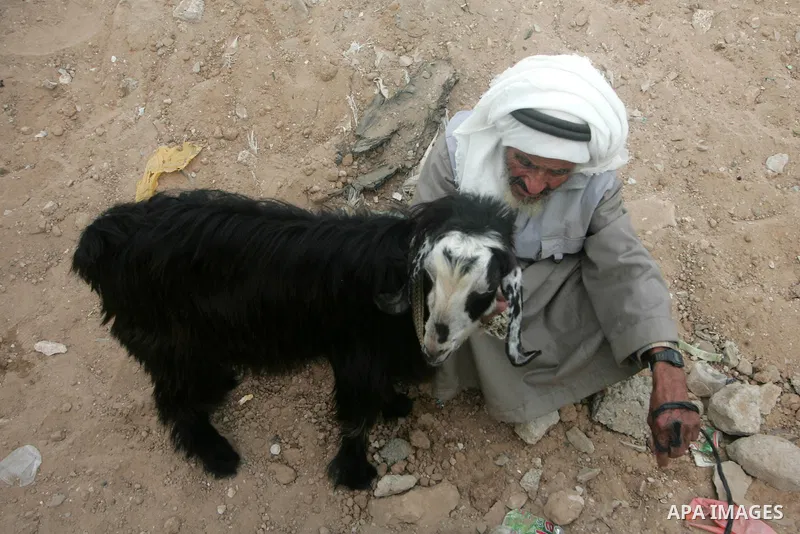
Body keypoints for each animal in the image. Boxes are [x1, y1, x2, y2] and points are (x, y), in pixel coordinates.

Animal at [70, 188, 538, 490]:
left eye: (483, 292)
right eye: (427, 277)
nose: (436, 345)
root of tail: (98, 241)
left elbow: (380, 393)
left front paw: (396, 406)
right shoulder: (356, 357)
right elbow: (357, 413)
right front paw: (354, 473)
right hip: (168, 341)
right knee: (173, 402)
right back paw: (218, 455)